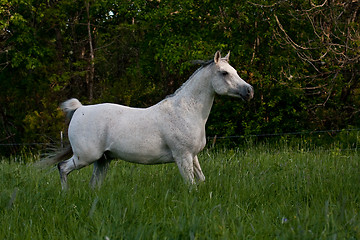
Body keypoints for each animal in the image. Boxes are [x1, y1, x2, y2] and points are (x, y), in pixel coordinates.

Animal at [40, 50, 253, 189]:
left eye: (235, 71)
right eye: (224, 73)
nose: (249, 91)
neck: (185, 111)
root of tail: (80, 109)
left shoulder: (193, 156)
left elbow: (201, 181)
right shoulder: (182, 156)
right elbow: (191, 185)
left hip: (102, 160)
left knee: (93, 185)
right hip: (85, 157)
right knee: (62, 168)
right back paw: (65, 195)